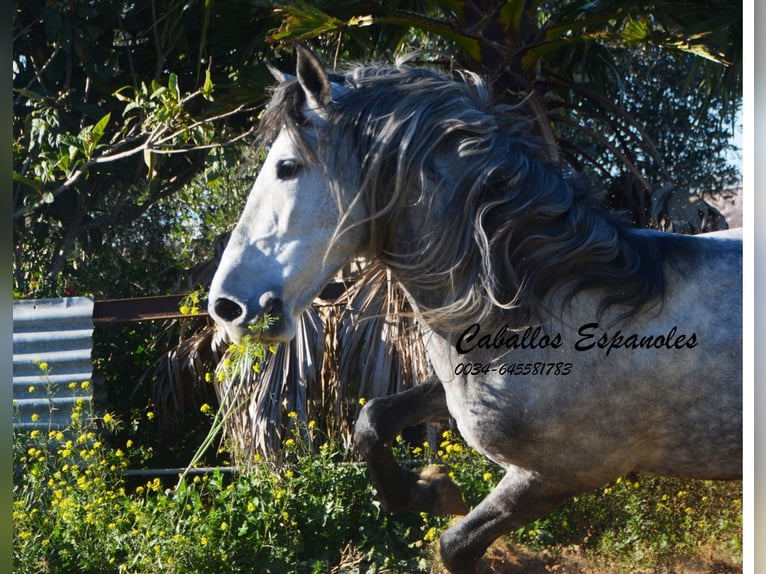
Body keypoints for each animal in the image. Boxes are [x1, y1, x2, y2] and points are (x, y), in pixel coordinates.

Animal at [210, 46, 744, 574]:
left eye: (287, 167)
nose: (227, 306)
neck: (557, 304)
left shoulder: (560, 474)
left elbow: (456, 544)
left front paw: (434, 494)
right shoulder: (451, 393)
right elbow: (372, 421)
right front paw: (430, 489)